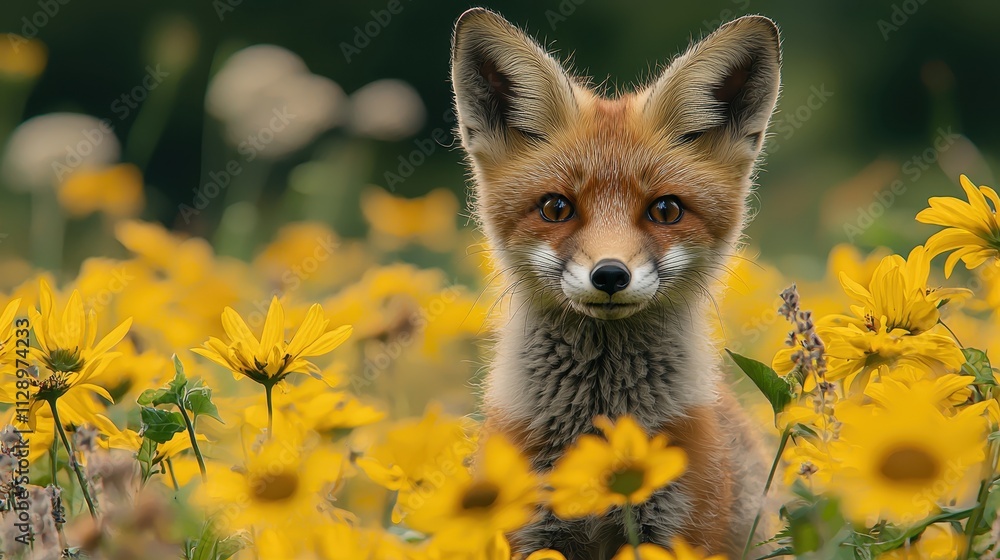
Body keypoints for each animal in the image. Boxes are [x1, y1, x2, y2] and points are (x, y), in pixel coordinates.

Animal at [450, 7, 781, 559]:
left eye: (665, 210)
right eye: (556, 207)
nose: (609, 274)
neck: (598, 420)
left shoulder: (679, 531)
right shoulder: (529, 531)